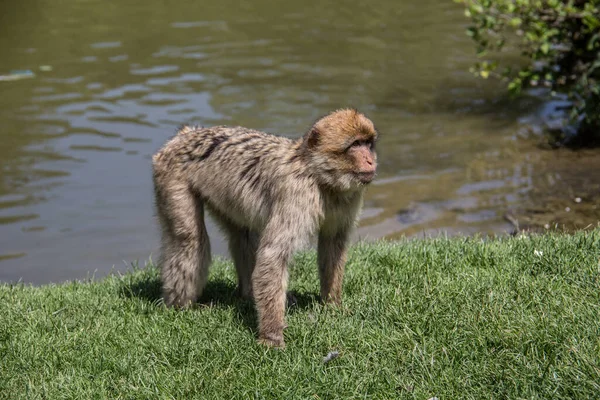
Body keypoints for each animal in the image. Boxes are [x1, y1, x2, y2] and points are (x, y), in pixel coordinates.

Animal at [151, 108, 376, 346]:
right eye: (355, 145)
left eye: (368, 143)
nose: (371, 161)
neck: (321, 178)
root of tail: (182, 136)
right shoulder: (296, 194)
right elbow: (273, 255)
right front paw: (272, 336)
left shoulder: (348, 200)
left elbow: (333, 245)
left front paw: (332, 305)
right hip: (171, 176)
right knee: (189, 239)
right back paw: (180, 306)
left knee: (242, 234)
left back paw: (247, 294)